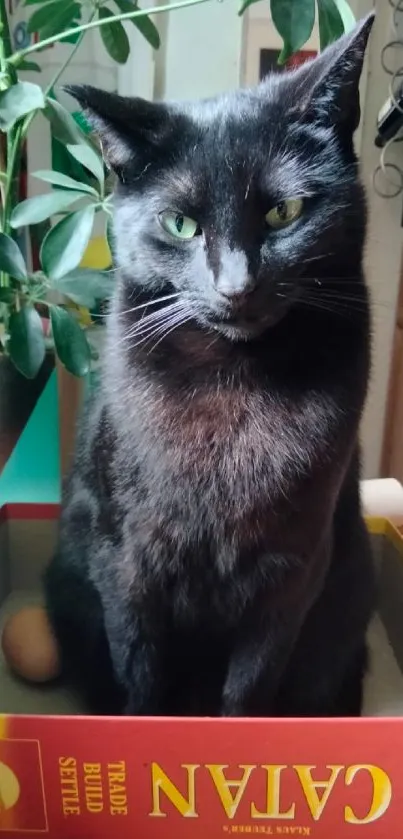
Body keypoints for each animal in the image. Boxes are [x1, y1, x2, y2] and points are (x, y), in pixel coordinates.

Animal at [45, 14, 378, 716]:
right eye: (180, 224)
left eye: (284, 212)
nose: (236, 286)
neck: (235, 383)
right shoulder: (127, 560)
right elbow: (140, 675)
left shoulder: (292, 571)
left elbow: (248, 692)